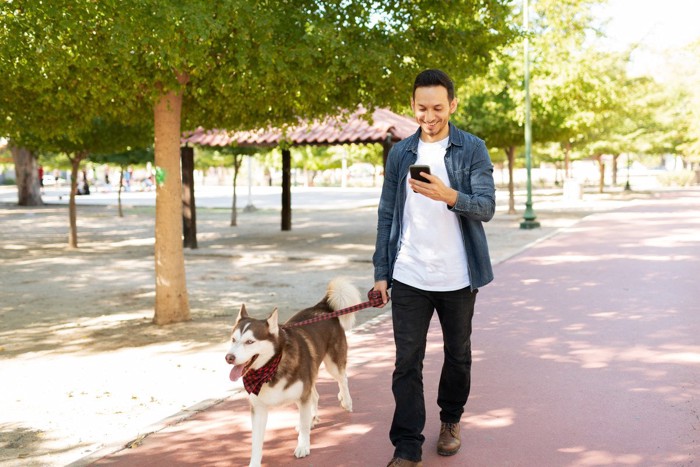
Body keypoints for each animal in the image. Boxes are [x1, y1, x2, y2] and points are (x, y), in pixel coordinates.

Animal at [227, 278, 360, 467]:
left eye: (250, 342)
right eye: (233, 339)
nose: (229, 357)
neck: (271, 370)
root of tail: (321, 307)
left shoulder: (302, 397)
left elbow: (303, 426)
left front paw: (303, 446)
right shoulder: (258, 408)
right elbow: (256, 441)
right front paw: (254, 462)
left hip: (332, 364)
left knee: (343, 379)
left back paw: (346, 401)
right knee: (316, 395)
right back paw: (313, 418)